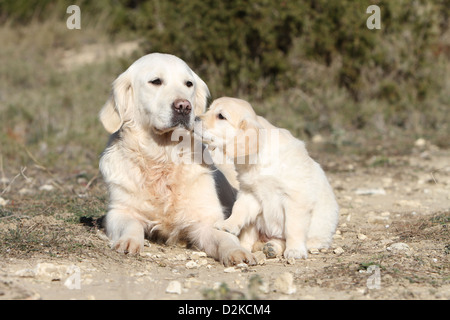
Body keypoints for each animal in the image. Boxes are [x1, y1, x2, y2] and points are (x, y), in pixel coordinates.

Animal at [98, 53, 255, 266]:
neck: (162, 156)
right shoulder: (119, 210)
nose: (184, 106)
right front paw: (128, 241)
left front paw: (237, 251)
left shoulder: (206, 219)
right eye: (156, 81)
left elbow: (224, 237)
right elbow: (130, 224)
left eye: (188, 83)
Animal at [195, 97, 340, 260]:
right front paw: (228, 225)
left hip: (316, 238)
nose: (194, 118)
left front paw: (295, 250)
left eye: (221, 116)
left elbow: (293, 227)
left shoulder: (295, 198)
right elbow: (239, 209)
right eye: (209, 109)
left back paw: (273, 247)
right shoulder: (250, 192)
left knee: (285, 239)